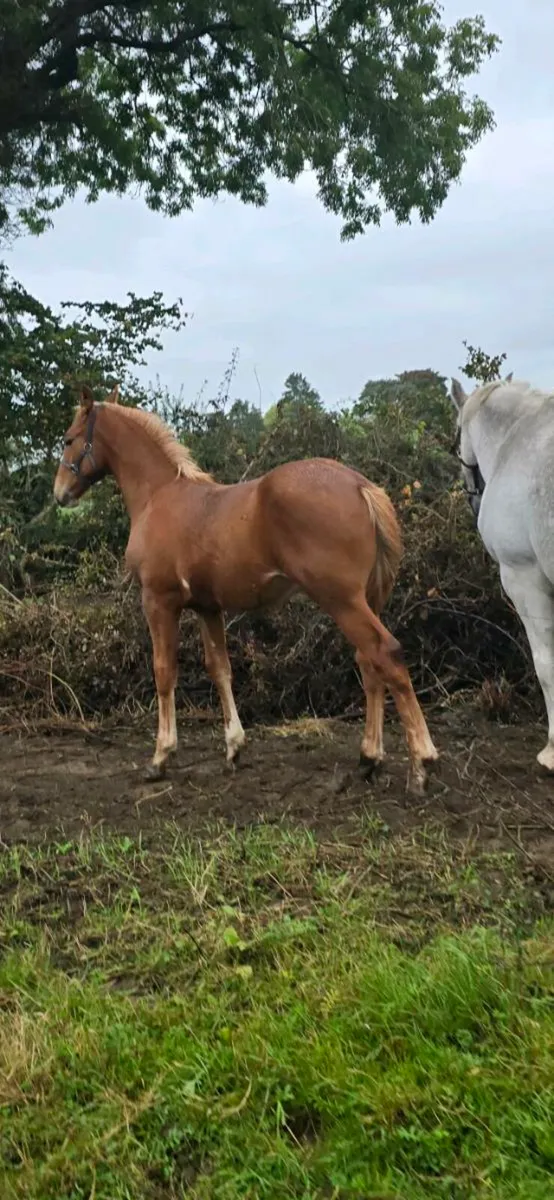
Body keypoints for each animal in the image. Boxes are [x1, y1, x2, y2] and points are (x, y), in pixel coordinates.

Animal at [53, 385, 438, 795]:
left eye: (69, 439)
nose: (59, 493)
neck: (160, 495)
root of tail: (359, 485)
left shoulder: (158, 600)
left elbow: (163, 670)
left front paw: (160, 756)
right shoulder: (208, 607)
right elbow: (220, 669)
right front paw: (234, 747)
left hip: (342, 601)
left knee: (386, 654)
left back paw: (421, 764)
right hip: (368, 600)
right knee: (369, 664)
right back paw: (368, 760)